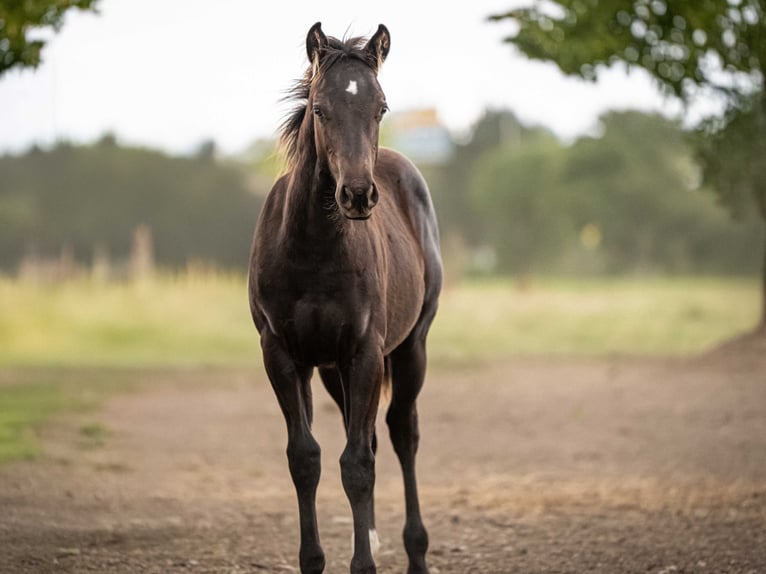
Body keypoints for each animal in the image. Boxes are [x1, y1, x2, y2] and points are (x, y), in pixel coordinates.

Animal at [248, 22, 442, 574]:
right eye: (319, 108)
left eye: (381, 106)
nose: (357, 195)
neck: (314, 251)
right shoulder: (283, 355)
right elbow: (305, 457)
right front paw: (313, 559)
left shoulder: (365, 352)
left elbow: (357, 464)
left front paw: (364, 563)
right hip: (333, 371)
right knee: (371, 434)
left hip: (410, 346)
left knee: (400, 433)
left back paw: (415, 551)